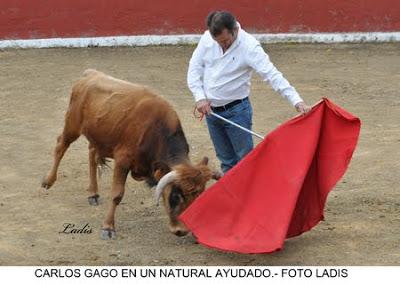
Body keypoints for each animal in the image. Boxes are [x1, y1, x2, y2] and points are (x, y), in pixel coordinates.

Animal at [42, 70, 220, 239]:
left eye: (198, 196)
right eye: (176, 196)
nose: (182, 231)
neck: (155, 130)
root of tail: (90, 74)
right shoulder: (122, 161)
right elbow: (117, 194)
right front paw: (108, 227)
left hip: (97, 136)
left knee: (91, 154)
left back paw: (93, 193)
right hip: (72, 125)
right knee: (60, 146)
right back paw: (48, 181)